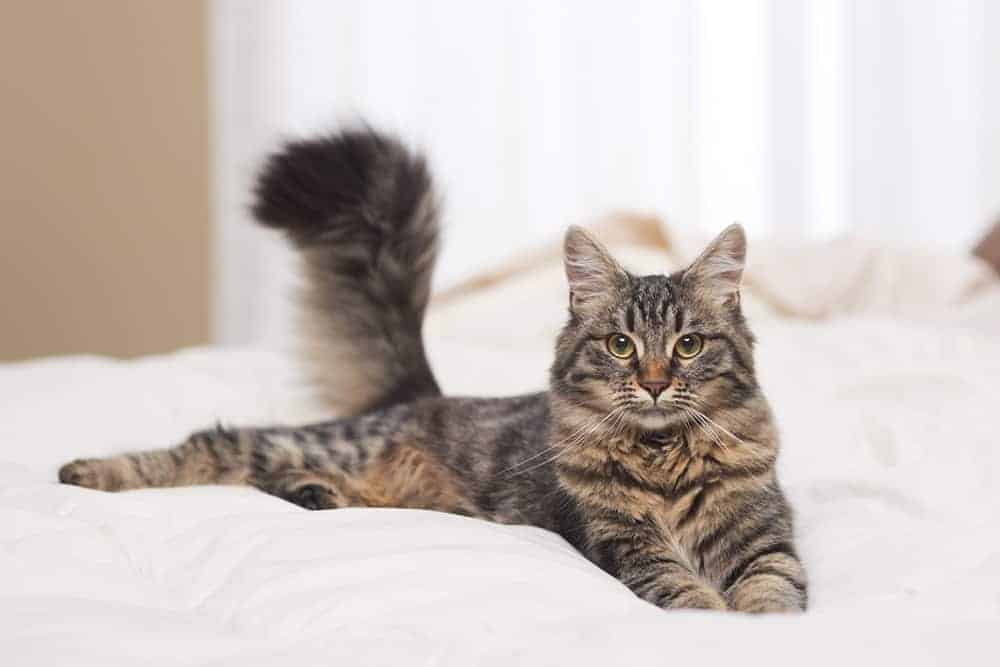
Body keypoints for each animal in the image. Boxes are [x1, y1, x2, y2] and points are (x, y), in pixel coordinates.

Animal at [60, 128, 804, 612]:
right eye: (622, 345)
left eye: (688, 346)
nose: (653, 382)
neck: (664, 455)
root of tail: (421, 393)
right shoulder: (623, 539)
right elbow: (683, 588)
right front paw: (711, 615)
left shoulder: (765, 534)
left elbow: (774, 589)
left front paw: (761, 625)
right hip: (330, 441)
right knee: (216, 443)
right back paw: (91, 472)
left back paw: (315, 494)